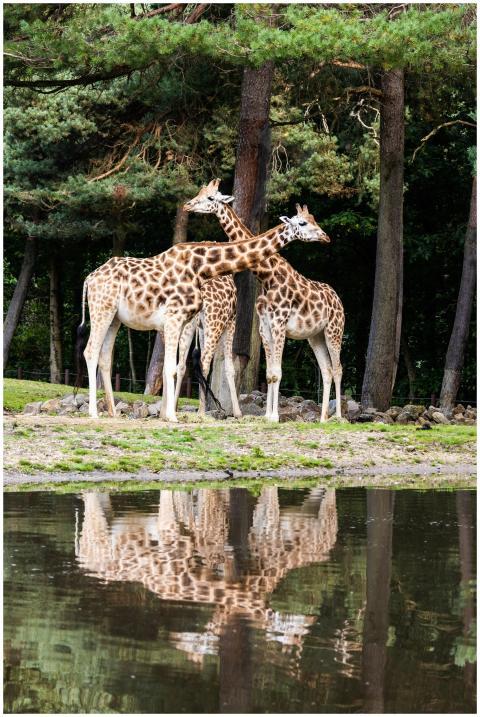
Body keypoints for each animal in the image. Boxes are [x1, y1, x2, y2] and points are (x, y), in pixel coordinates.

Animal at [77, 206, 327, 423]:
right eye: (303, 223)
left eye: (314, 219)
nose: (325, 237)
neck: (202, 267)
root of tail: (89, 278)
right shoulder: (175, 317)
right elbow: (174, 366)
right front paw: (173, 416)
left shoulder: (182, 321)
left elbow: (176, 366)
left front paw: (168, 413)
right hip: (102, 309)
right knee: (90, 351)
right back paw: (93, 412)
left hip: (115, 318)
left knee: (105, 357)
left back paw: (112, 411)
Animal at [183, 184, 344, 422]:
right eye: (200, 195)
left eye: (210, 197)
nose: (325, 237)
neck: (267, 276)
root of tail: (338, 299)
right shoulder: (265, 327)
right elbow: (269, 374)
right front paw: (268, 415)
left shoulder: (279, 324)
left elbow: (277, 372)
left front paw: (274, 416)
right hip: (315, 336)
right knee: (327, 370)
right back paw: (323, 418)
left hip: (334, 331)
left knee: (338, 368)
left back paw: (340, 417)